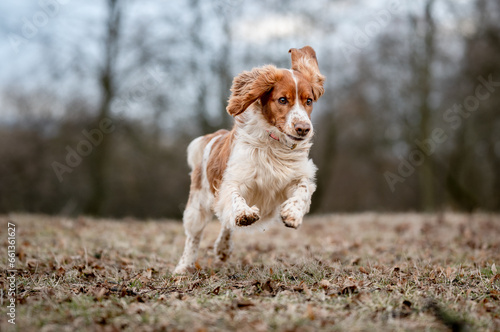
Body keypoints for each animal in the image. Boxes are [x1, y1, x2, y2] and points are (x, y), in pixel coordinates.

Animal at [174, 46, 326, 274]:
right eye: (282, 100)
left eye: (308, 101)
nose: (303, 129)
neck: (274, 144)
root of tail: (215, 135)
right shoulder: (233, 179)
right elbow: (234, 197)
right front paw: (244, 213)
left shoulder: (293, 178)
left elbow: (303, 189)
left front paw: (292, 213)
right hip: (198, 204)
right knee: (194, 235)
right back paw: (184, 267)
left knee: (225, 223)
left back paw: (223, 248)